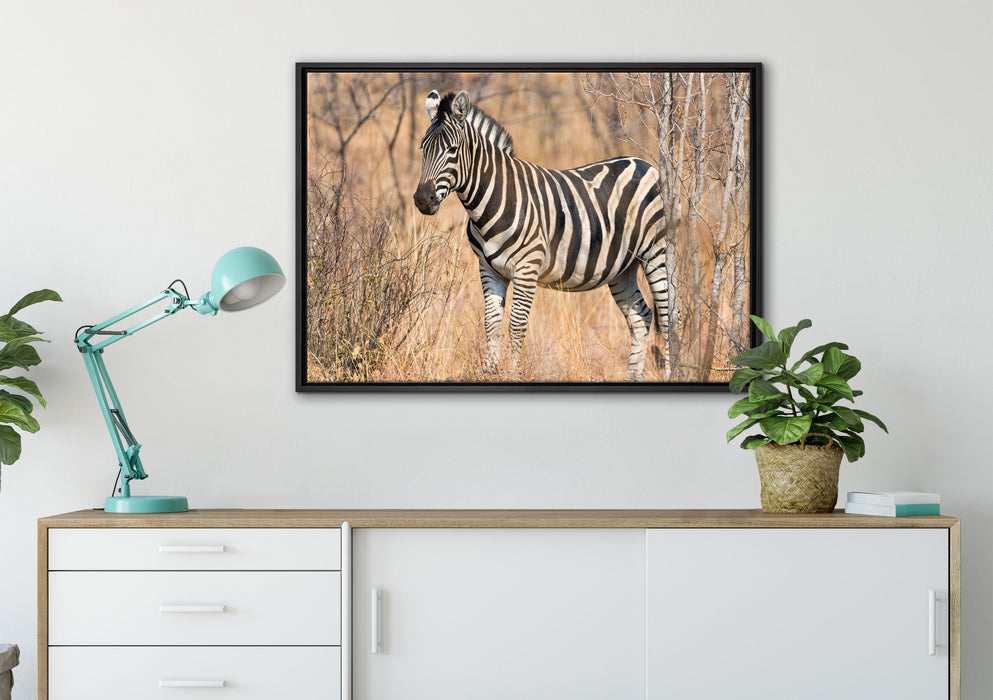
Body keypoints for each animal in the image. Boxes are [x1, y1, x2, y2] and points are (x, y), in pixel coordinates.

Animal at [413, 89, 671, 381]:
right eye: (423, 149)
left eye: (452, 150)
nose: (422, 199)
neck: (492, 200)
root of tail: (644, 164)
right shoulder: (489, 269)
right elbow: (491, 323)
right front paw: (491, 372)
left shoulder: (527, 268)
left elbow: (516, 325)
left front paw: (512, 375)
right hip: (622, 267)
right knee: (641, 317)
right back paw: (633, 377)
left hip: (656, 253)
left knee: (667, 315)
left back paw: (671, 373)